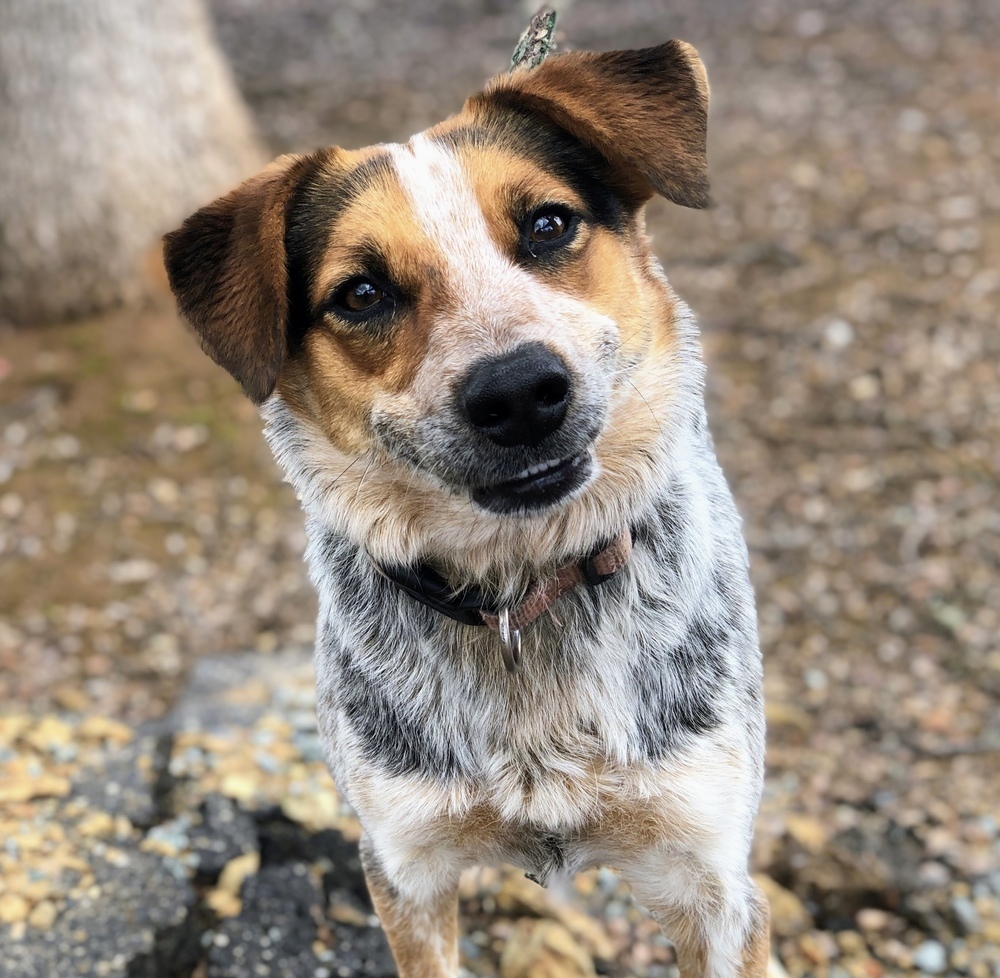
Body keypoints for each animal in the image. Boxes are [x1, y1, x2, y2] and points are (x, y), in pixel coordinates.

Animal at [168, 34, 768, 972]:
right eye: (362, 293)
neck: (519, 592)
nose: (519, 391)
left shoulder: (714, 881)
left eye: (549, 224)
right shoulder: (404, 866)